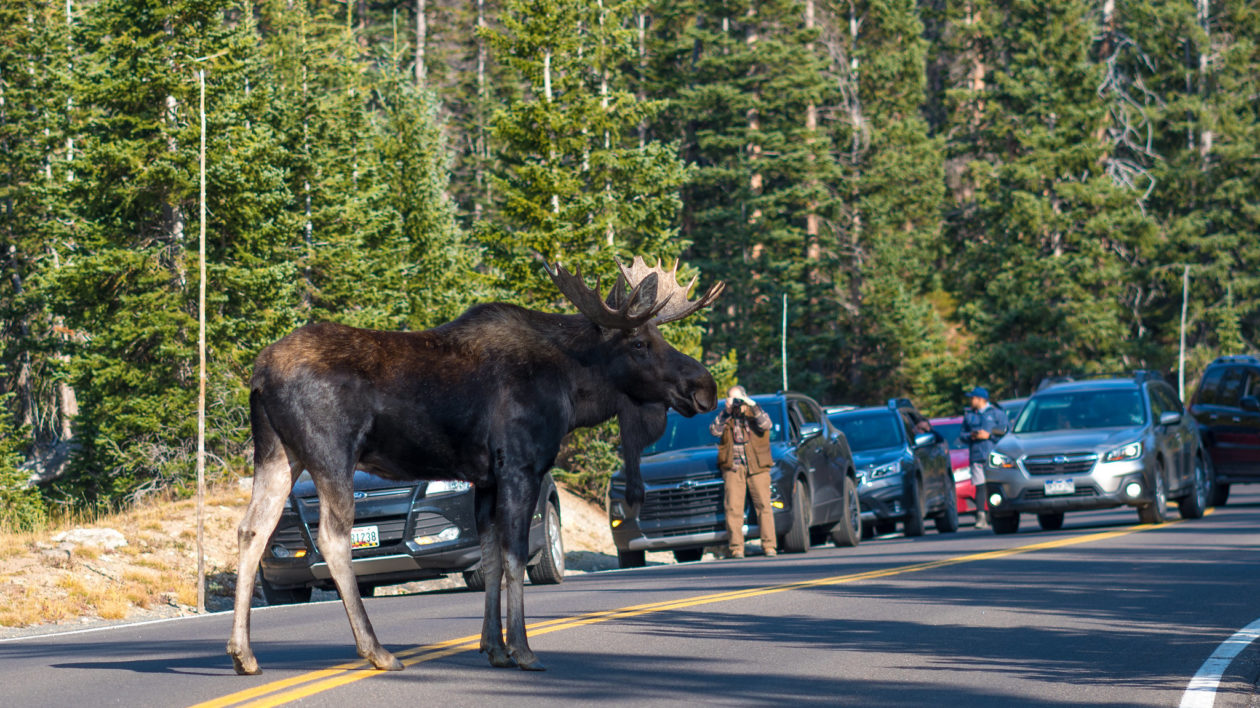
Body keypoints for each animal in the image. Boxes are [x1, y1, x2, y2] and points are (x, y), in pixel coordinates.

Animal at [224, 254, 720, 670]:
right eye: (639, 342)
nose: (706, 386)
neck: (573, 389)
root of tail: (259, 374)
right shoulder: (520, 466)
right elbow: (515, 556)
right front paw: (522, 650)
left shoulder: (484, 480)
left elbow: (491, 560)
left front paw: (493, 648)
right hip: (331, 454)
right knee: (332, 538)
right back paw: (376, 650)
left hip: (277, 454)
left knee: (251, 529)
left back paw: (244, 655)